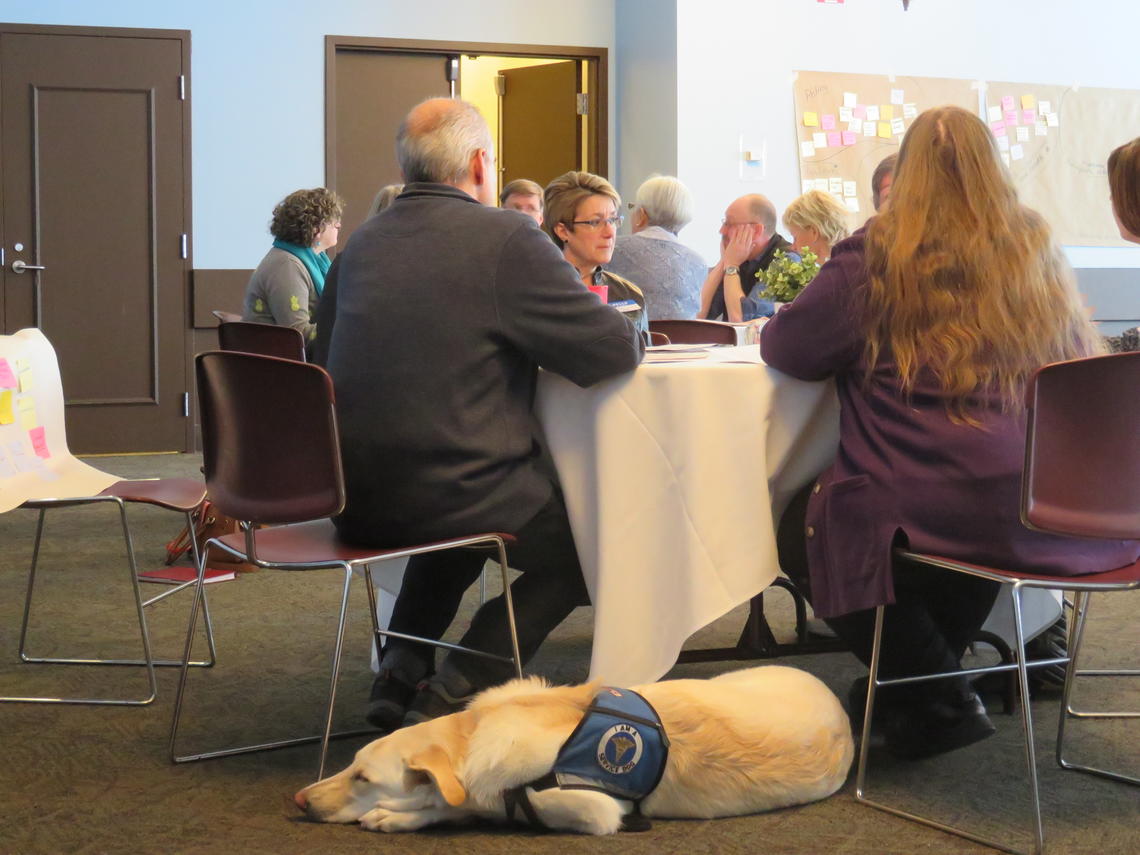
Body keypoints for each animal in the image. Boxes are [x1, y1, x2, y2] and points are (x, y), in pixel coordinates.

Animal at [298, 661, 852, 839]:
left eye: (363, 778)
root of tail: (844, 714)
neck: (473, 733)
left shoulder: (593, 810)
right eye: (348, 765)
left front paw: (397, 815)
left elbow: (469, 805)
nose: (299, 800)